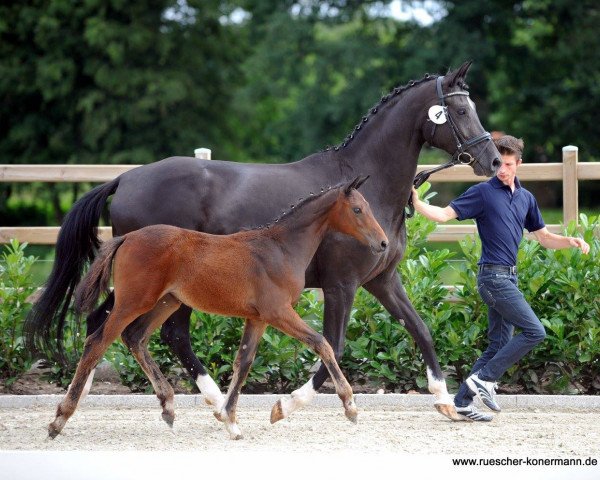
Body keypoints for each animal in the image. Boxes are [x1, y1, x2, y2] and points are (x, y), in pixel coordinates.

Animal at [51, 176, 390, 438]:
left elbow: (243, 362)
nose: (383, 243)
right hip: (134, 301)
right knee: (98, 341)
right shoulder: (278, 312)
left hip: (166, 302)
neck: (281, 248)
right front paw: (350, 406)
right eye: (357, 209)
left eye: (369, 207)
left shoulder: (258, 318)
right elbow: (323, 343)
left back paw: (168, 406)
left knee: (134, 337)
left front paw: (230, 420)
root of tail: (126, 238)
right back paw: (60, 418)